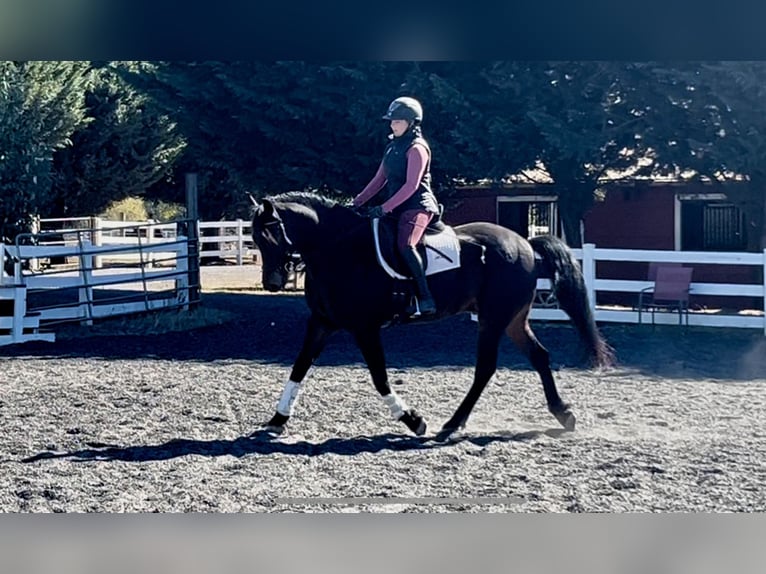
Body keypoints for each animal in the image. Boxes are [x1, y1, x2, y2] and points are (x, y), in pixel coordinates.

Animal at [250, 191, 613, 441]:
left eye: (271, 234)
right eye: (254, 238)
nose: (273, 283)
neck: (338, 249)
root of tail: (524, 242)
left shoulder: (365, 328)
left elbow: (380, 378)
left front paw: (413, 419)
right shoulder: (322, 323)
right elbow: (299, 367)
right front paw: (277, 420)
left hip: (493, 320)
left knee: (485, 368)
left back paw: (452, 424)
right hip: (512, 320)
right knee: (539, 356)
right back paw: (563, 414)